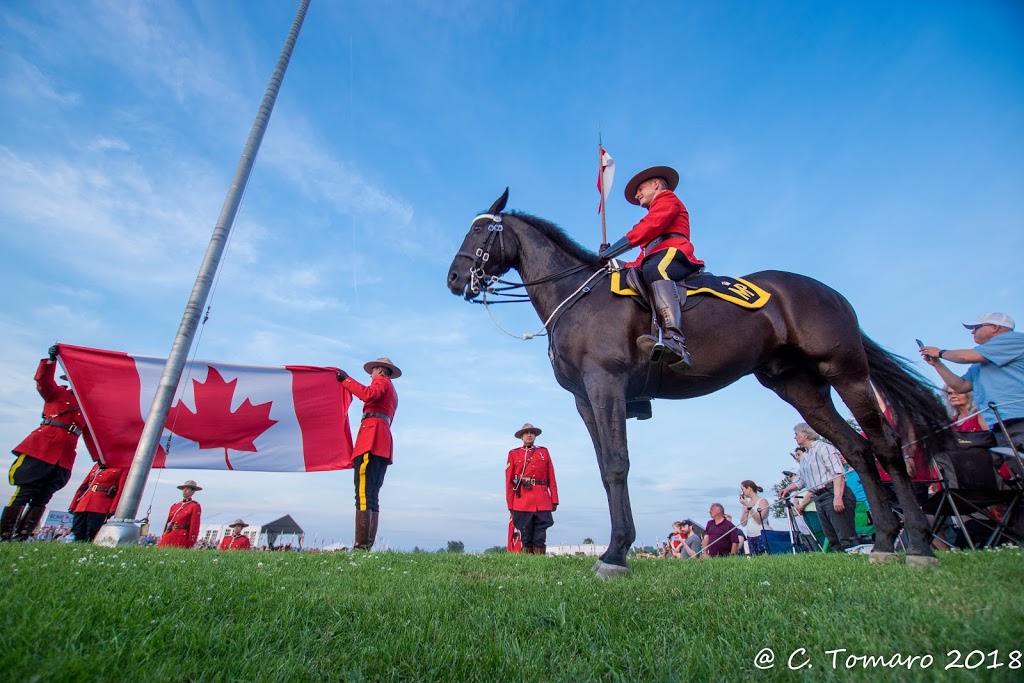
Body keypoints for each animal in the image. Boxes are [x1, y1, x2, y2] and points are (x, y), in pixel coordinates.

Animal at [448, 188, 950, 577]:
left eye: (480, 232)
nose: (454, 278)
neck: (578, 297)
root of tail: (829, 292)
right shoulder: (585, 400)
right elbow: (607, 470)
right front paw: (616, 548)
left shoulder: (605, 385)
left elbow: (617, 465)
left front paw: (616, 553)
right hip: (802, 389)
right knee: (857, 450)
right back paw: (884, 543)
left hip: (846, 373)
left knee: (883, 446)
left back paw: (918, 546)